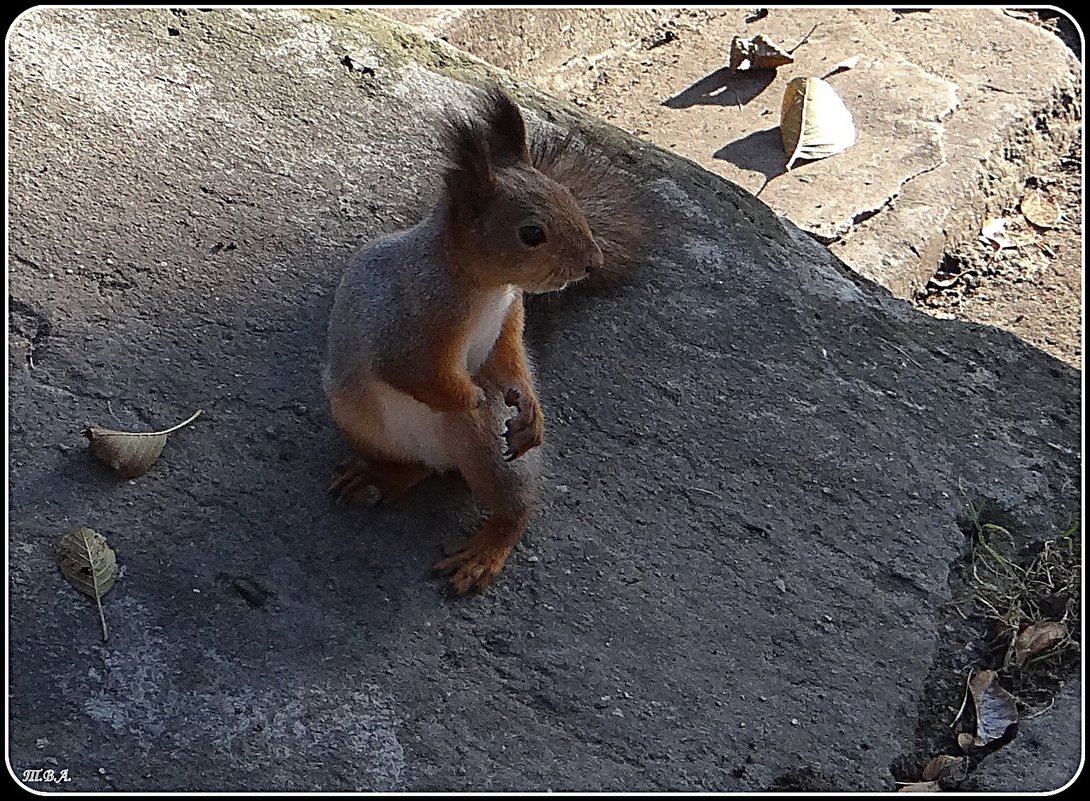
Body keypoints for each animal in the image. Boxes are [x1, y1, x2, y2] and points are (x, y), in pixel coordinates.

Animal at [322, 86, 645, 597]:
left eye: (569, 197)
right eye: (531, 233)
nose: (590, 263)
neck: (487, 286)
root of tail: (441, 456)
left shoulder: (512, 316)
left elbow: (511, 356)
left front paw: (527, 406)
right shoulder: (407, 322)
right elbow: (413, 372)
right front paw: (475, 399)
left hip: (494, 463)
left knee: (514, 507)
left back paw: (482, 552)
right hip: (357, 419)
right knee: (425, 469)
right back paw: (385, 473)